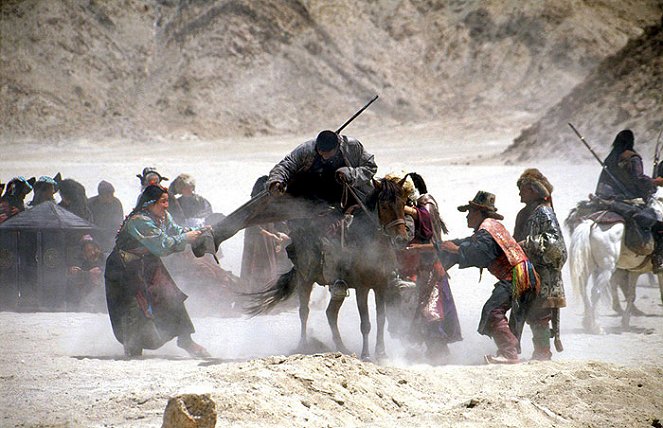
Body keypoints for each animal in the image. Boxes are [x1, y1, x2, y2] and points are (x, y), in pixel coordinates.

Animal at [248, 176, 410, 360]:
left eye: (403, 203)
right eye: (384, 205)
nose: (402, 239)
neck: (372, 245)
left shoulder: (381, 286)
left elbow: (381, 320)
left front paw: (381, 353)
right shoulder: (362, 288)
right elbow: (366, 323)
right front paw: (366, 355)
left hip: (337, 287)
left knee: (331, 313)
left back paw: (342, 348)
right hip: (305, 280)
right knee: (304, 312)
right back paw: (303, 346)